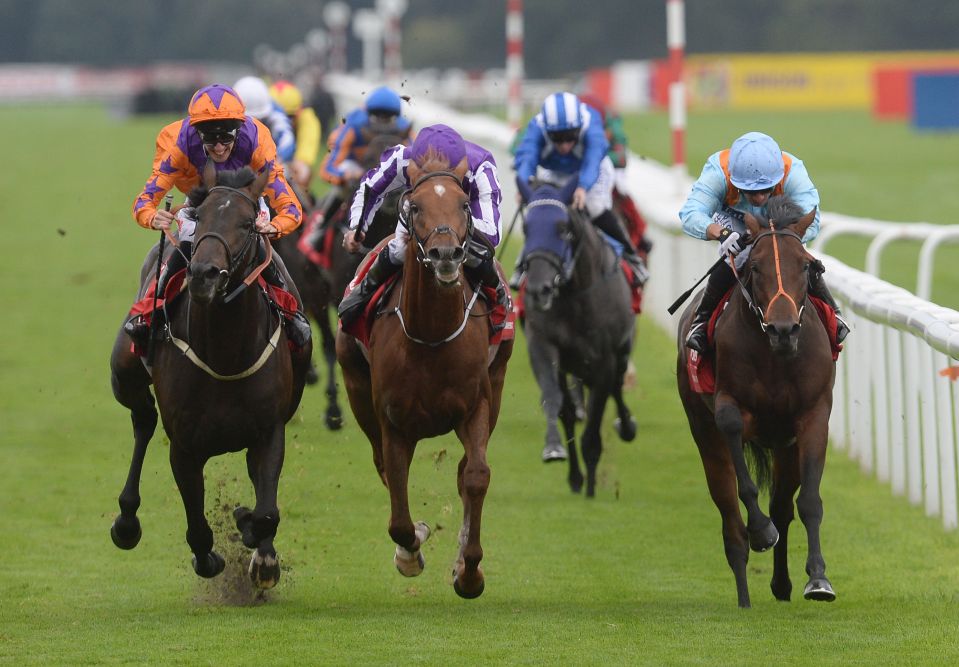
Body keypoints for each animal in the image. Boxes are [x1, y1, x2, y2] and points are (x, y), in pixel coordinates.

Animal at [110, 162, 310, 588]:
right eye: (200, 218)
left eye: (249, 223)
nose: (204, 274)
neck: (225, 353)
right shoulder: (185, 446)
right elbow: (197, 525)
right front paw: (210, 558)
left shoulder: (270, 430)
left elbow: (266, 510)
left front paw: (260, 548)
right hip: (124, 376)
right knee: (143, 421)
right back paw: (126, 521)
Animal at [336, 153, 512, 600]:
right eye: (414, 207)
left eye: (465, 205)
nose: (446, 253)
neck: (432, 335)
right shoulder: (393, 421)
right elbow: (398, 507)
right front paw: (410, 550)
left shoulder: (476, 406)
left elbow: (476, 476)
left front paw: (468, 571)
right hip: (357, 389)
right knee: (382, 465)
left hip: (498, 381)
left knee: (465, 470)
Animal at [516, 177, 636, 496]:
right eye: (526, 228)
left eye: (563, 228)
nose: (539, 289)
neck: (573, 295)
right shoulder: (543, 345)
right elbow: (557, 403)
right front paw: (558, 454)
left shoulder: (604, 360)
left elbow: (594, 424)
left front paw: (592, 486)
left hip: (620, 352)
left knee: (617, 386)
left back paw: (627, 426)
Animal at [676, 196, 840, 608]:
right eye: (755, 266)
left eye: (806, 265)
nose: (784, 330)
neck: (776, 356)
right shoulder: (728, 406)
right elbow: (745, 483)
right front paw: (761, 532)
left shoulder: (812, 416)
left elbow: (809, 502)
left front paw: (818, 579)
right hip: (705, 436)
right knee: (731, 524)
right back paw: (745, 598)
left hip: (785, 447)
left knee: (782, 508)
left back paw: (781, 586)